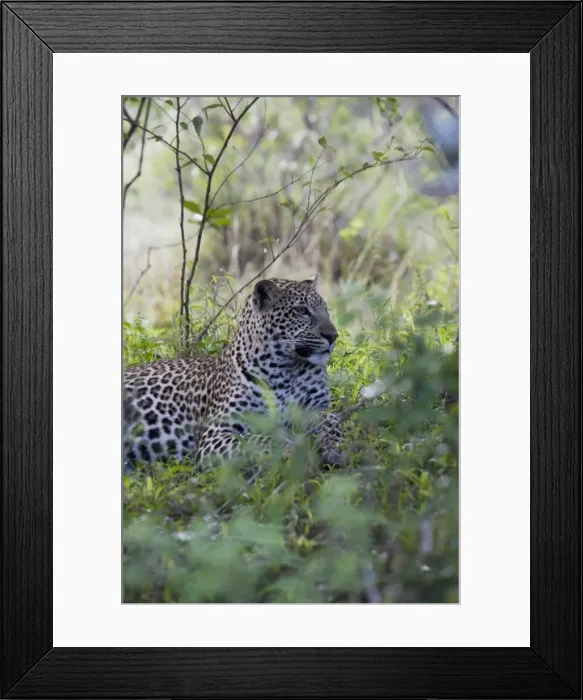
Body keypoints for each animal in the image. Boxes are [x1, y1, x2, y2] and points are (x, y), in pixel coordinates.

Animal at [123, 275, 346, 470]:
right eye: (301, 310)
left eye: (325, 310)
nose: (333, 336)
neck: (285, 369)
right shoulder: (216, 433)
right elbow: (257, 440)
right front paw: (292, 450)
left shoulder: (316, 408)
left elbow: (332, 421)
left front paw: (336, 447)